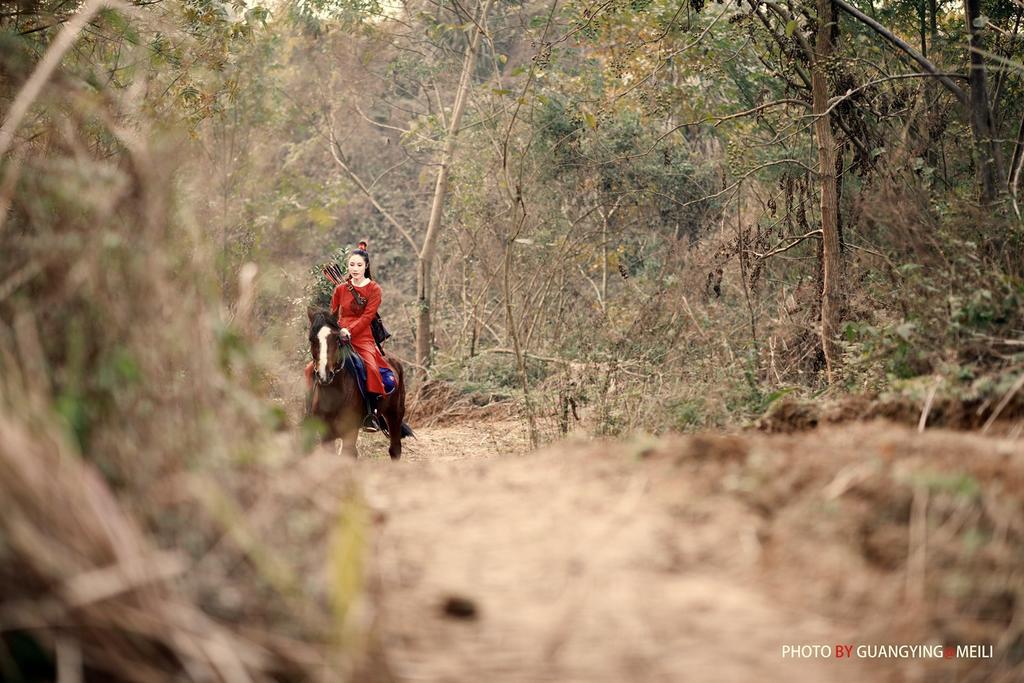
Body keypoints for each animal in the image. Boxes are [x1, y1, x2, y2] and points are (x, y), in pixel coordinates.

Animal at [305, 309, 409, 458]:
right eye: (311, 339)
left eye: (337, 339)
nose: (325, 375)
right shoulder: (326, 435)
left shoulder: (350, 431)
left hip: (395, 413)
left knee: (395, 449)